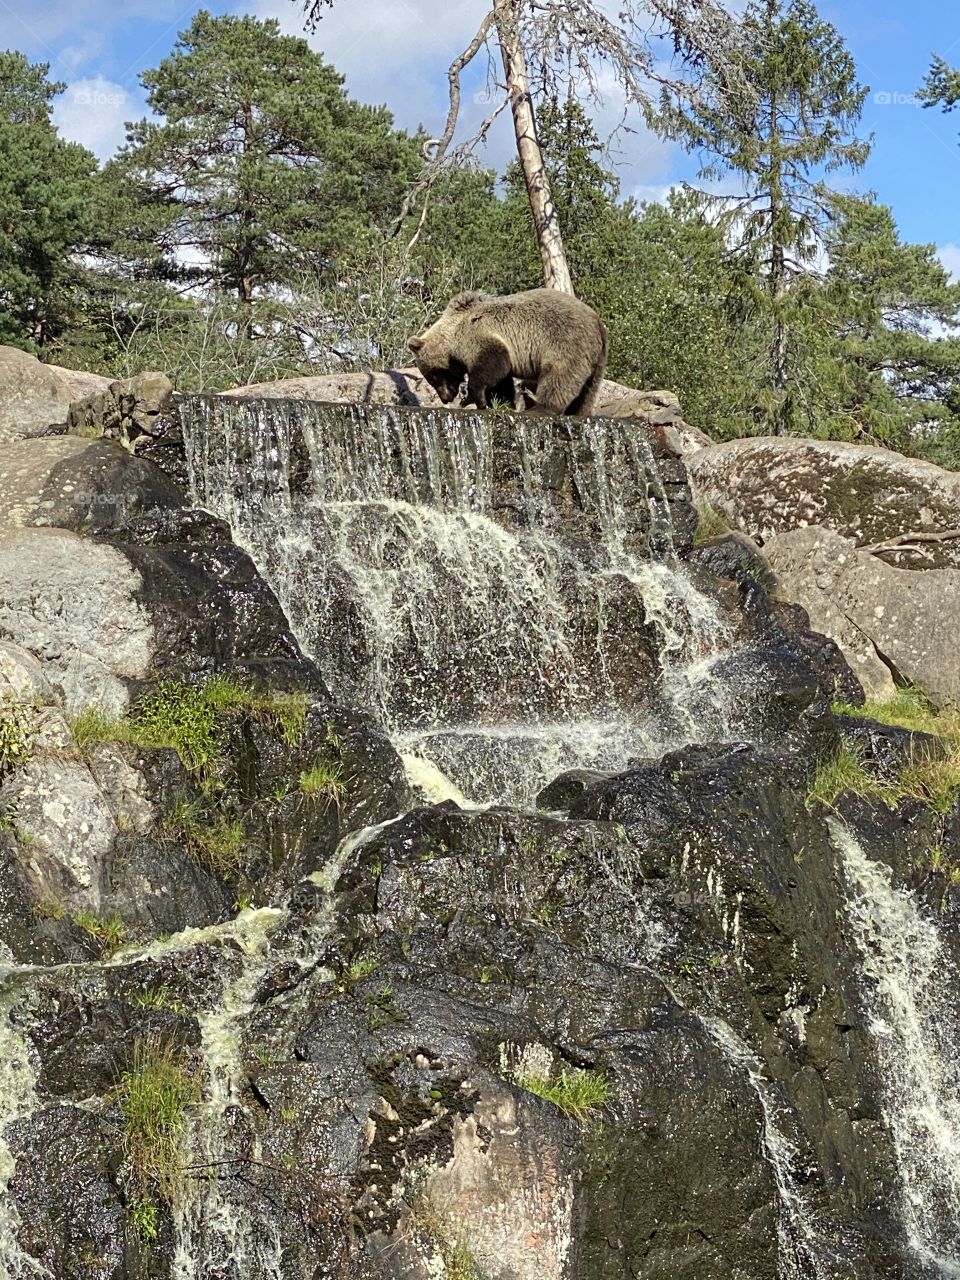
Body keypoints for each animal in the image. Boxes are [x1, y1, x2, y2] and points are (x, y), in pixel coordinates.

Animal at [408, 288, 608, 417]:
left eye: (432, 376)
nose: (445, 398)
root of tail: (597, 321)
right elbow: (501, 381)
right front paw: (501, 402)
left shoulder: (478, 337)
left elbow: (492, 367)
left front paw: (474, 399)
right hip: (597, 359)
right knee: (588, 390)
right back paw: (578, 412)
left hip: (565, 340)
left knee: (559, 375)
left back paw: (540, 408)